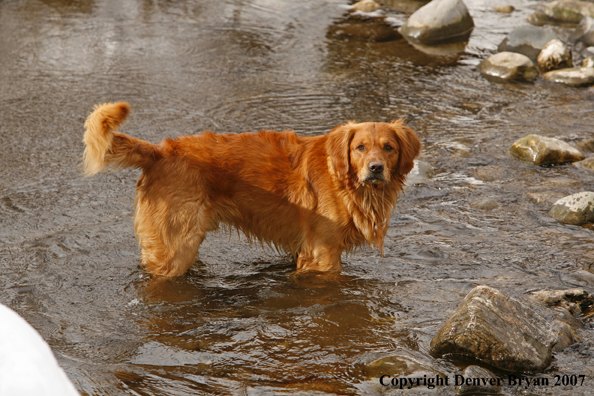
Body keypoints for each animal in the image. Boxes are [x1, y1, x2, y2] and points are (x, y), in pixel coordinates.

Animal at [83, 102, 418, 276]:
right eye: (360, 147)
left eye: (388, 148)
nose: (375, 168)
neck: (346, 183)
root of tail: (160, 151)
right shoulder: (322, 253)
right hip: (175, 246)